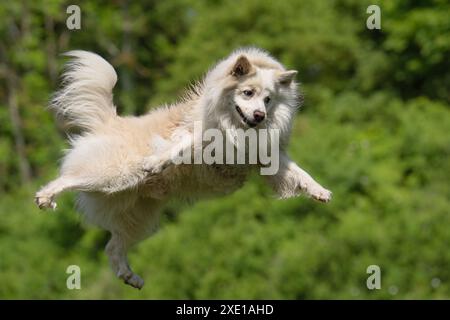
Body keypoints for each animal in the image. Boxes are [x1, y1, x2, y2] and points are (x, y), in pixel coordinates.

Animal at [34, 48, 330, 290]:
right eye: (248, 93)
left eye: (268, 99)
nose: (260, 116)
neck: (236, 127)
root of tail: (111, 121)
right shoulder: (201, 138)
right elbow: (182, 147)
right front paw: (156, 162)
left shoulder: (269, 158)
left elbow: (299, 173)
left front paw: (320, 192)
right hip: (113, 175)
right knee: (69, 178)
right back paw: (45, 197)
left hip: (141, 219)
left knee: (112, 247)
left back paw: (131, 278)